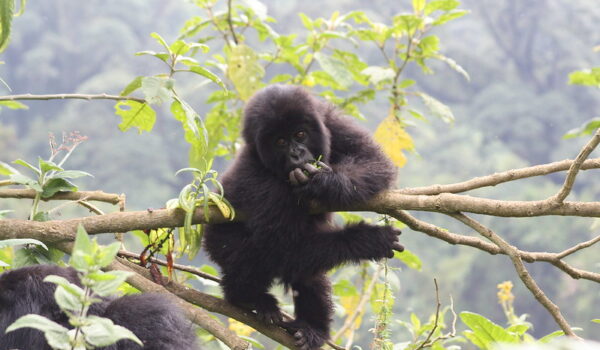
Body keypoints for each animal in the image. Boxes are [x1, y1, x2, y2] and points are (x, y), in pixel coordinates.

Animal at [204, 85, 406, 350]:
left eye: (300, 134)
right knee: (249, 255)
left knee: (311, 273)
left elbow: (371, 160)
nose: (296, 154)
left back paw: (312, 328)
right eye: (279, 141)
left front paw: (325, 183)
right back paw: (246, 296)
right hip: (217, 240)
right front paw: (366, 240)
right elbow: (280, 250)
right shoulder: (262, 183)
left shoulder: (332, 123)